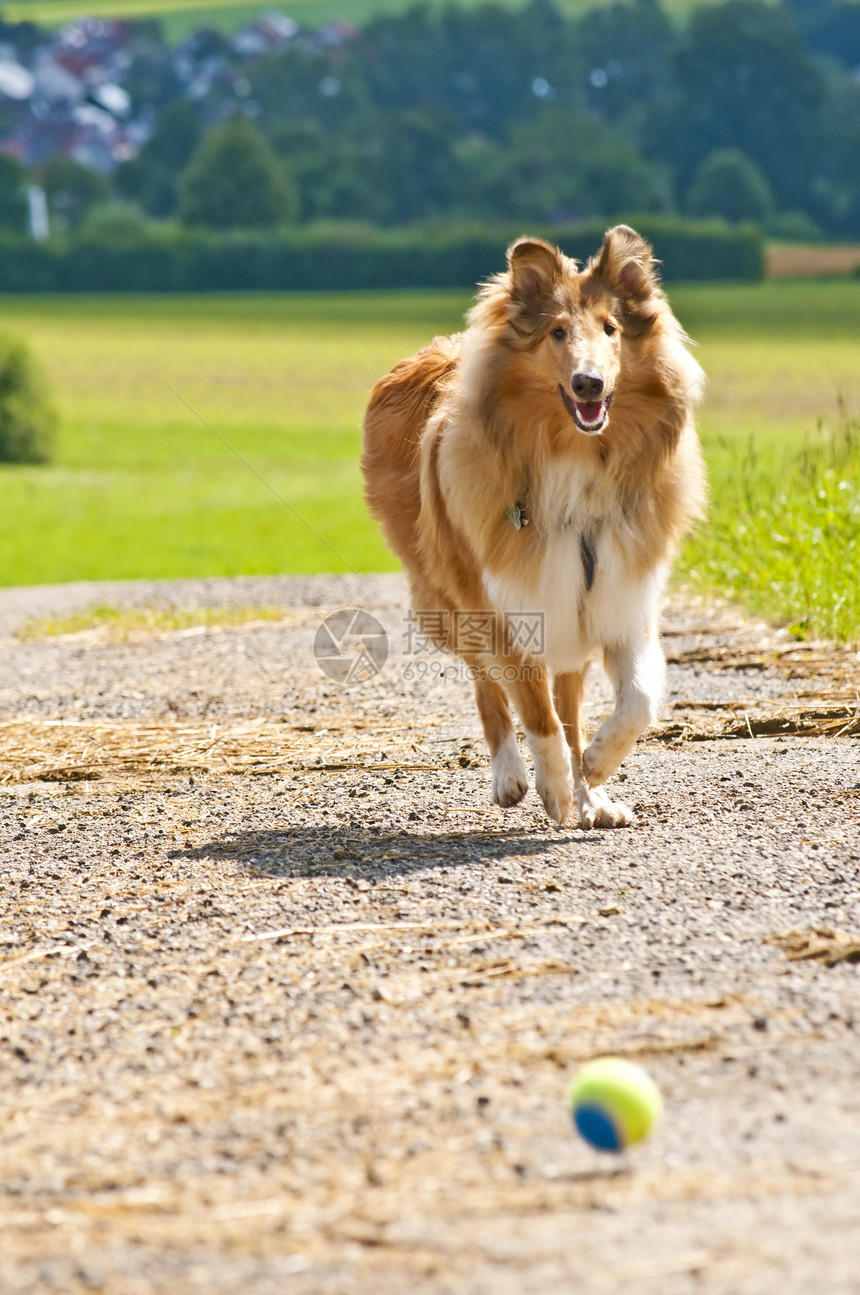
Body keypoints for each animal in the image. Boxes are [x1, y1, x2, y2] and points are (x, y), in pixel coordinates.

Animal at [360, 226, 704, 823]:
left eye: (611, 329)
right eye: (556, 332)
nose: (589, 384)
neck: (579, 462)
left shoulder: (620, 595)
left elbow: (637, 700)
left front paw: (595, 769)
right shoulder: (509, 605)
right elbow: (536, 714)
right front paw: (557, 787)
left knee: (569, 703)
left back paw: (593, 794)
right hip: (449, 600)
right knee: (488, 685)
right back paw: (511, 776)